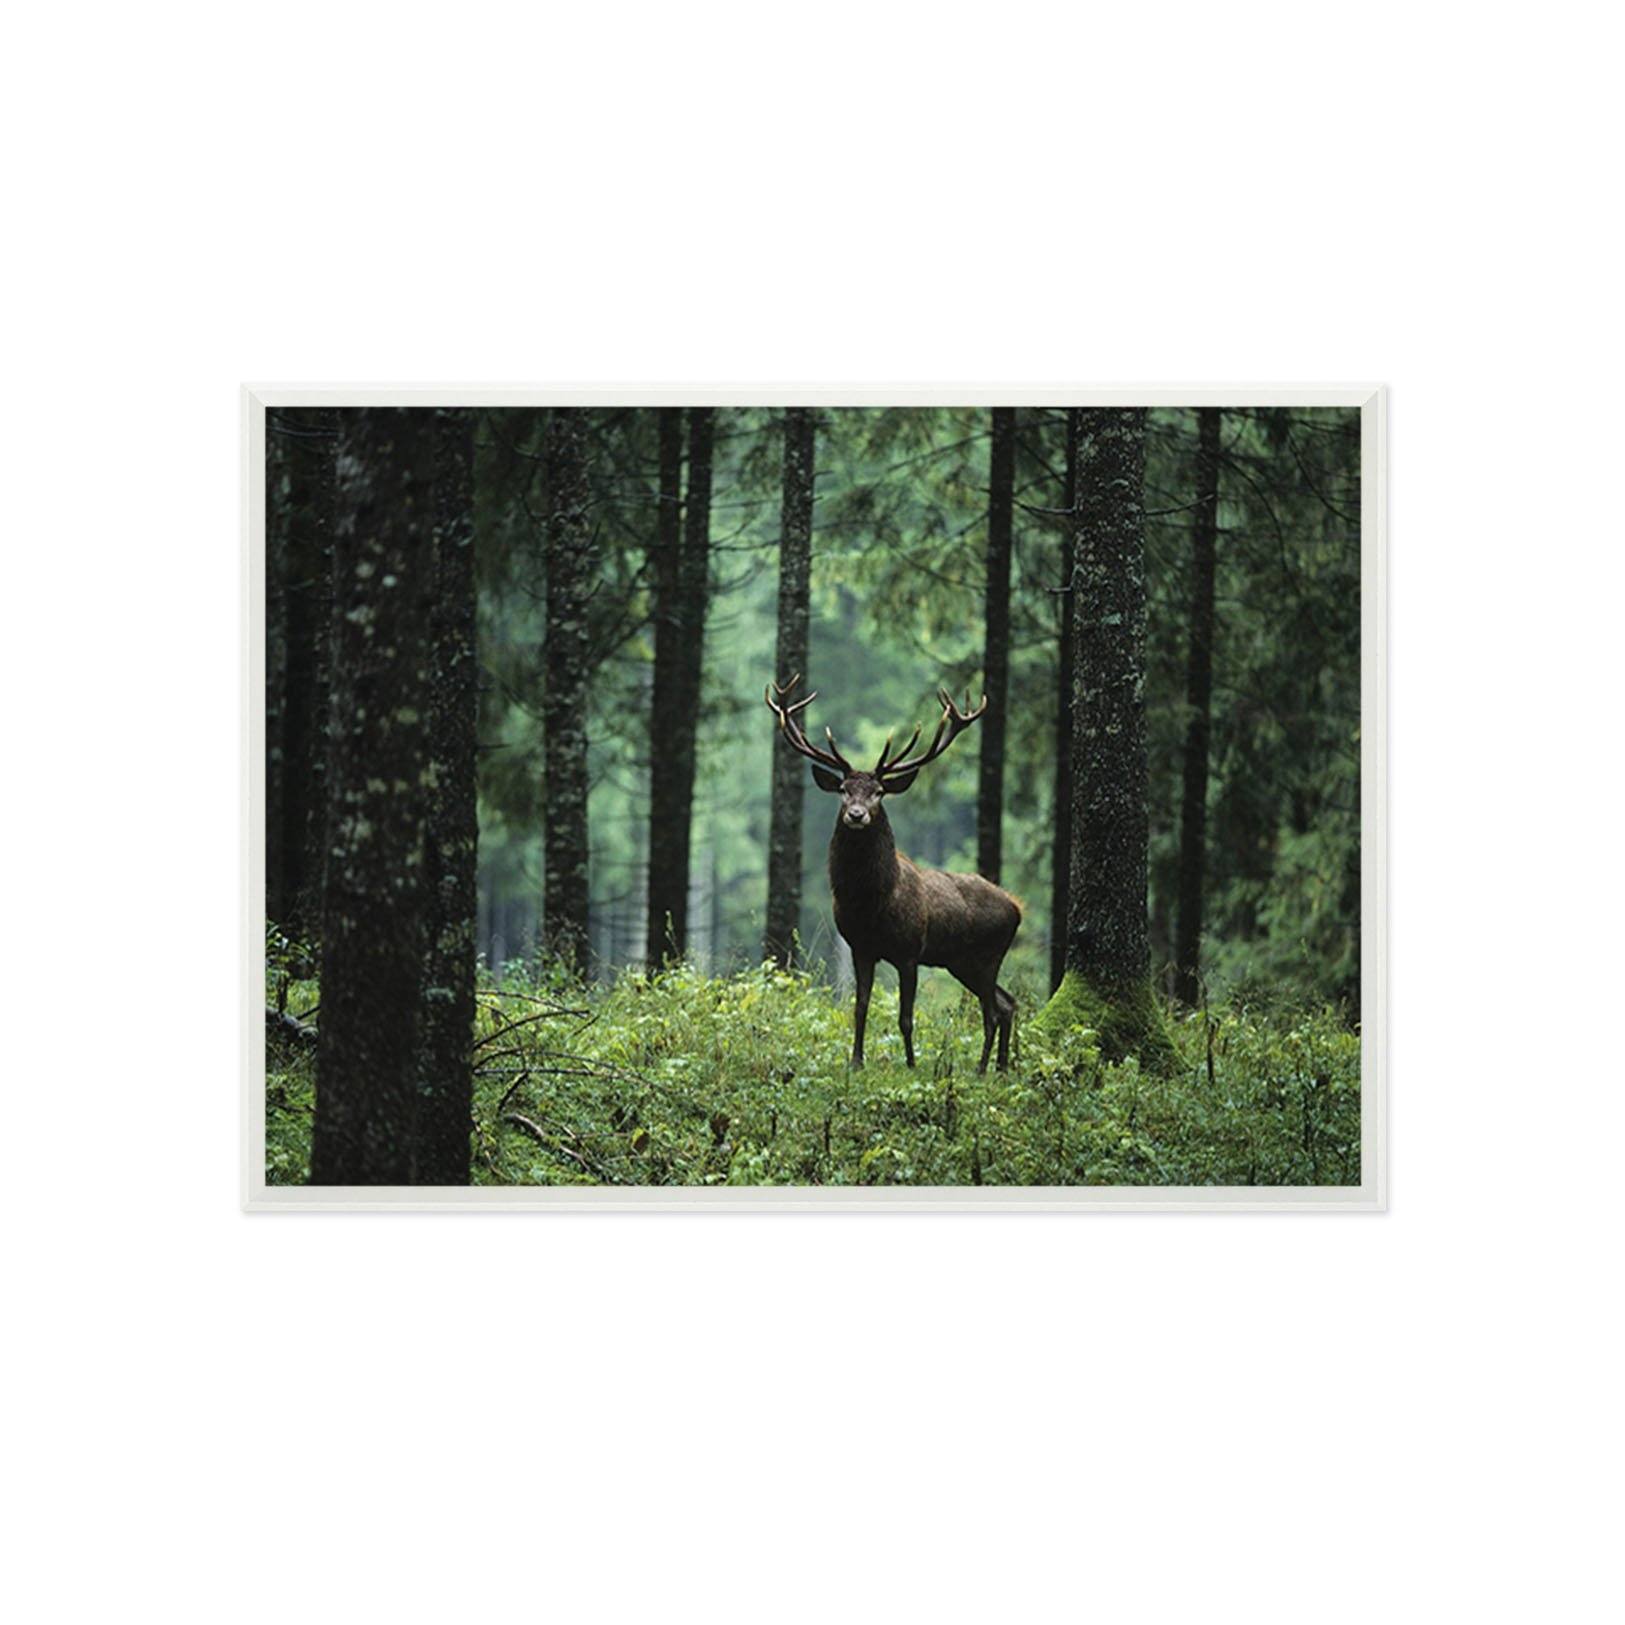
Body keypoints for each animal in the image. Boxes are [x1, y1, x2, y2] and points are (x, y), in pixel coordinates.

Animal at [765, 675, 1022, 1072]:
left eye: (879, 792)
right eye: (844, 790)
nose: (856, 814)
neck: (871, 903)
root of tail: (1016, 908)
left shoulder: (909, 952)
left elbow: (906, 1017)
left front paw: (912, 1064)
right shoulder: (861, 947)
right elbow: (860, 1007)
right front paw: (856, 1062)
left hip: (987, 955)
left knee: (994, 1010)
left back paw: (983, 1068)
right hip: (961, 961)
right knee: (1007, 1003)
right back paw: (999, 1068)